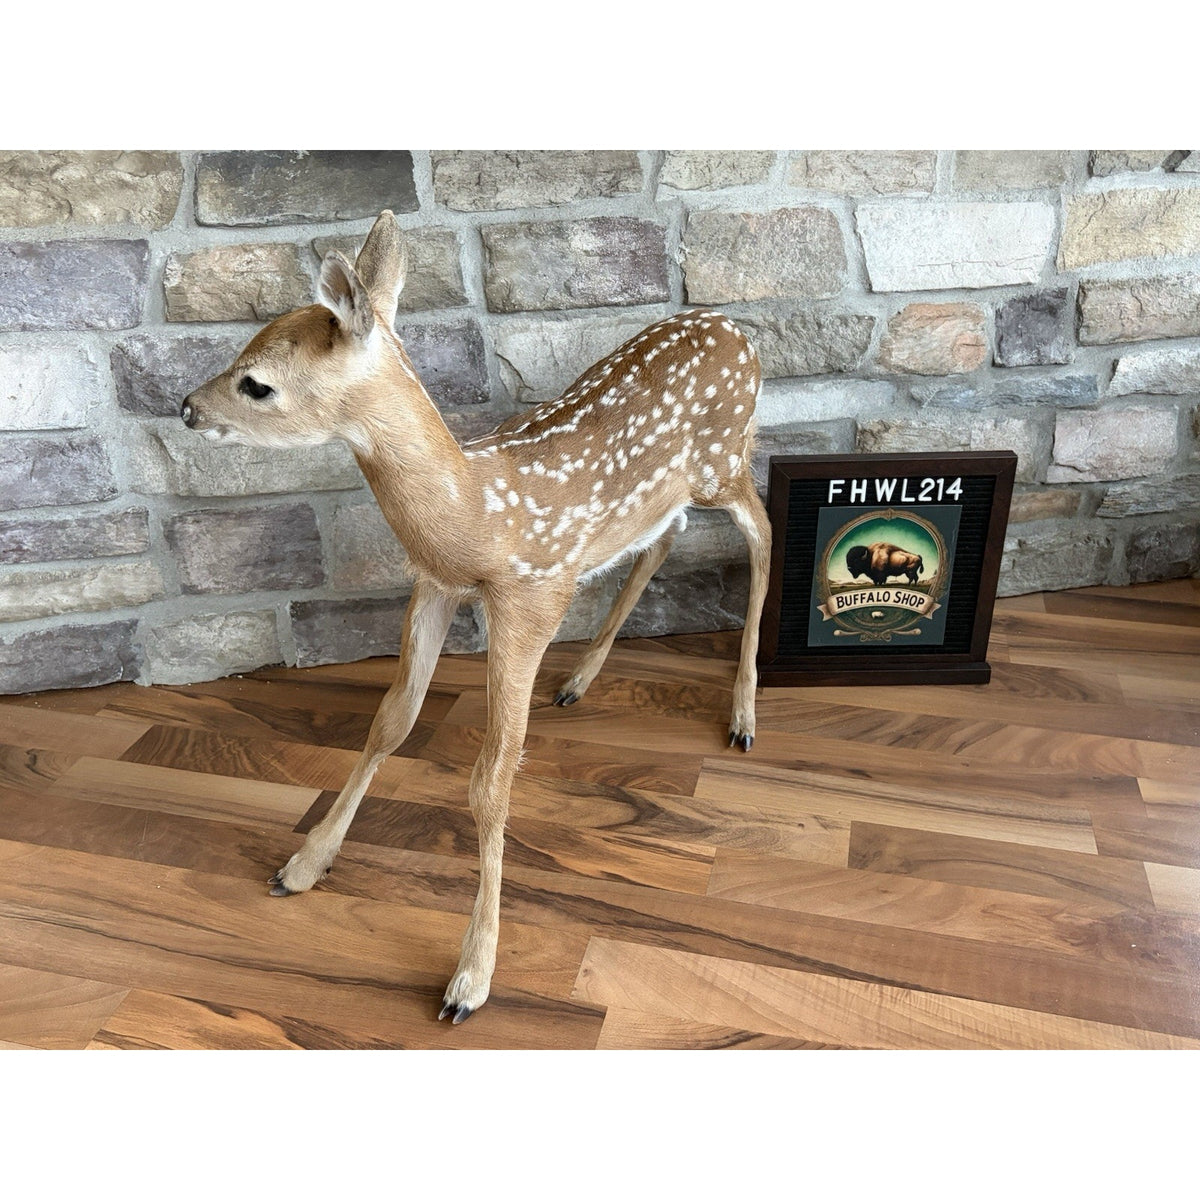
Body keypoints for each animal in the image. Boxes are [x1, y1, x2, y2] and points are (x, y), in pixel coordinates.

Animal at [180, 210, 772, 1024]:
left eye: (256, 383)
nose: (185, 408)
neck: (476, 517)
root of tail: (739, 331)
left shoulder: (532, 595)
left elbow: (490, 783)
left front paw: (472, 977)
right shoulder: (434, 587)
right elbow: (390, 722)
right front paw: (303, 864)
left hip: (724, 461)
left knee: (764, 532)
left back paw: (744, 715)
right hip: (668, 494)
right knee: (662, 540)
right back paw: (580, 680)